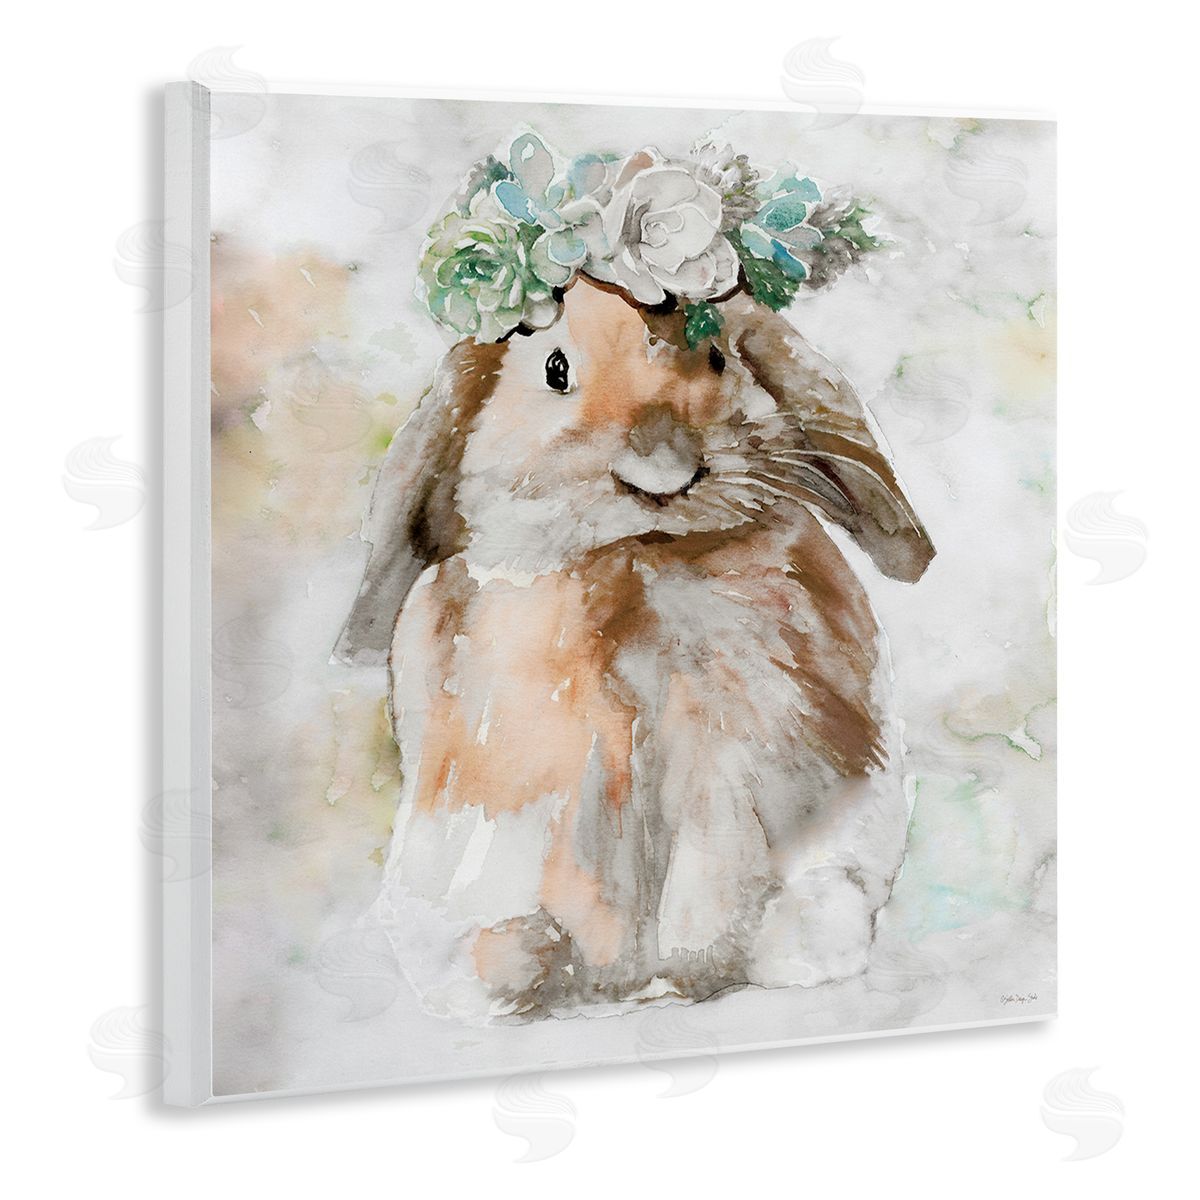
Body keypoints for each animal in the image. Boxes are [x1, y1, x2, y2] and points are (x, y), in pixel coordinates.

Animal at [335, 275, 935, 1023]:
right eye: (555, 368)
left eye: (715, 356)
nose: (662, 472)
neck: (633, 560)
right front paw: (577, 978)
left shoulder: (730, 774)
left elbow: (708, 882)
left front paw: (682, 974)